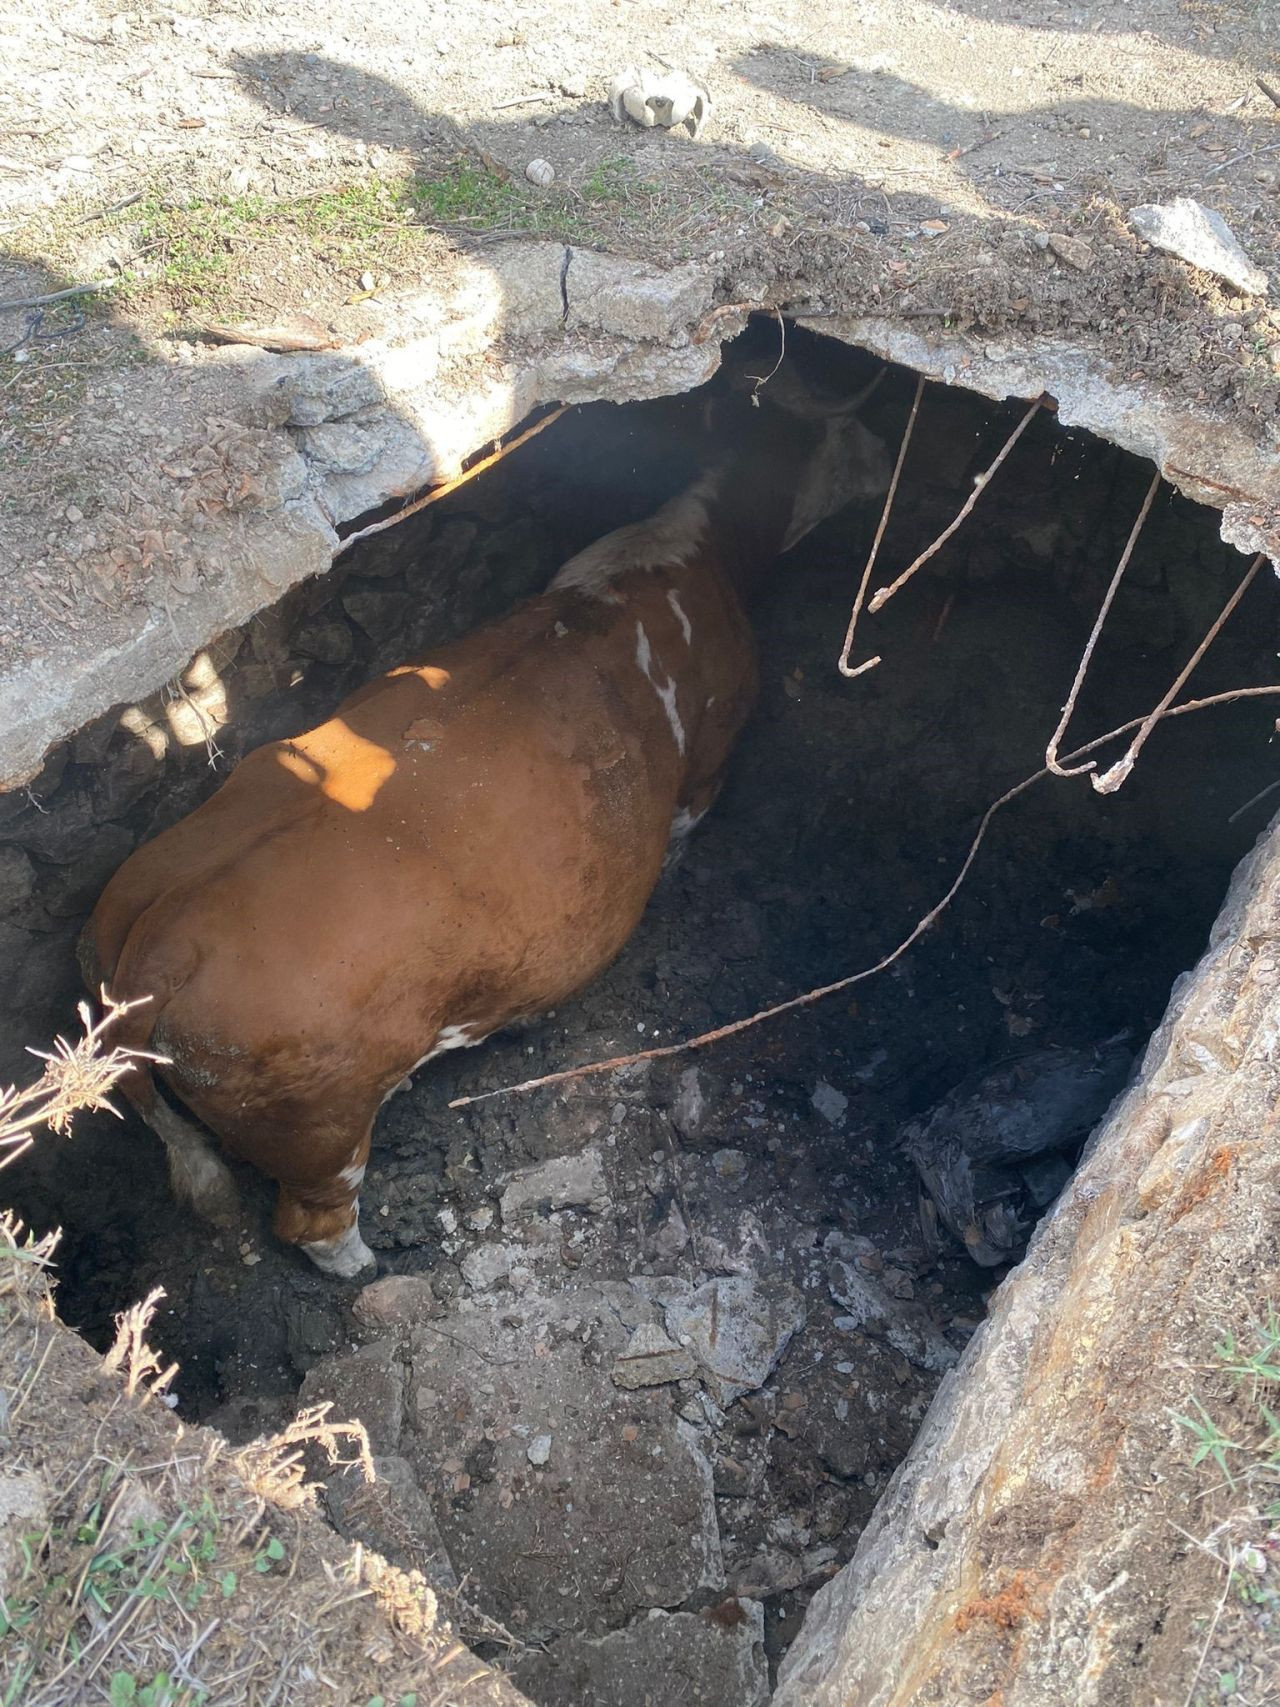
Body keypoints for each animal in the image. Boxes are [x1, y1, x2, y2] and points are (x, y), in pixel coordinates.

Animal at [77, 377, 880, 1283]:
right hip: (319, 1124)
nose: (895, 457)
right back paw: (364, 1263)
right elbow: (680, 835)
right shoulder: (708, 761)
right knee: (313, 1224)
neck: (682, 552)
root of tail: (160, 936)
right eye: (856, 433)